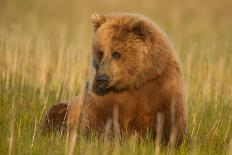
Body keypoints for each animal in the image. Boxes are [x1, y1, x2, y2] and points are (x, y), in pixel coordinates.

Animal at [41, 12, 187, 146]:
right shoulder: (102, 97)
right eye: (100, 52)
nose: (102, 78)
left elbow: (169, 121)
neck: (135, 82)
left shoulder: (161, 86)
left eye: (116, 53)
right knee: (57, 113)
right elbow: (96, 119)